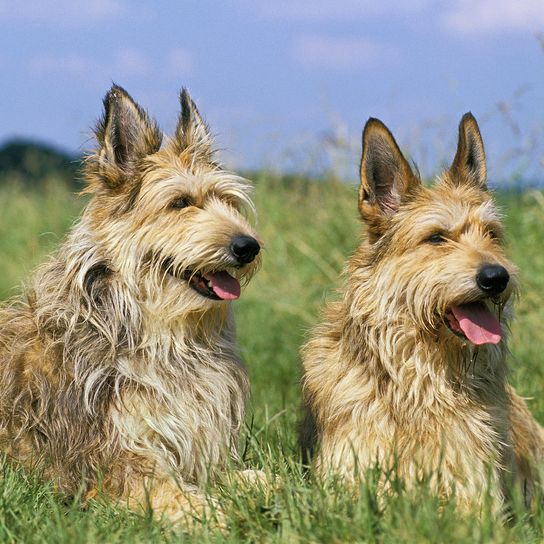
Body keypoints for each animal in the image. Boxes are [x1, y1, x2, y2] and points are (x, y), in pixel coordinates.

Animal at [0, 85, 262, 524]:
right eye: (180, 203)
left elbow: (259, 478)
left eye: (228, 201)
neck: (163, 338)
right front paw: (226, 516)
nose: (249, 246)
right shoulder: (114, 466)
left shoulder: (196, 453)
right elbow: (186, 500)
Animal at [300, 112, 544, 512]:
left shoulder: (473, 491)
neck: (420, 378)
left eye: (492, 234)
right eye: (436, 238)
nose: (497, 277)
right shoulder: (348, 480)